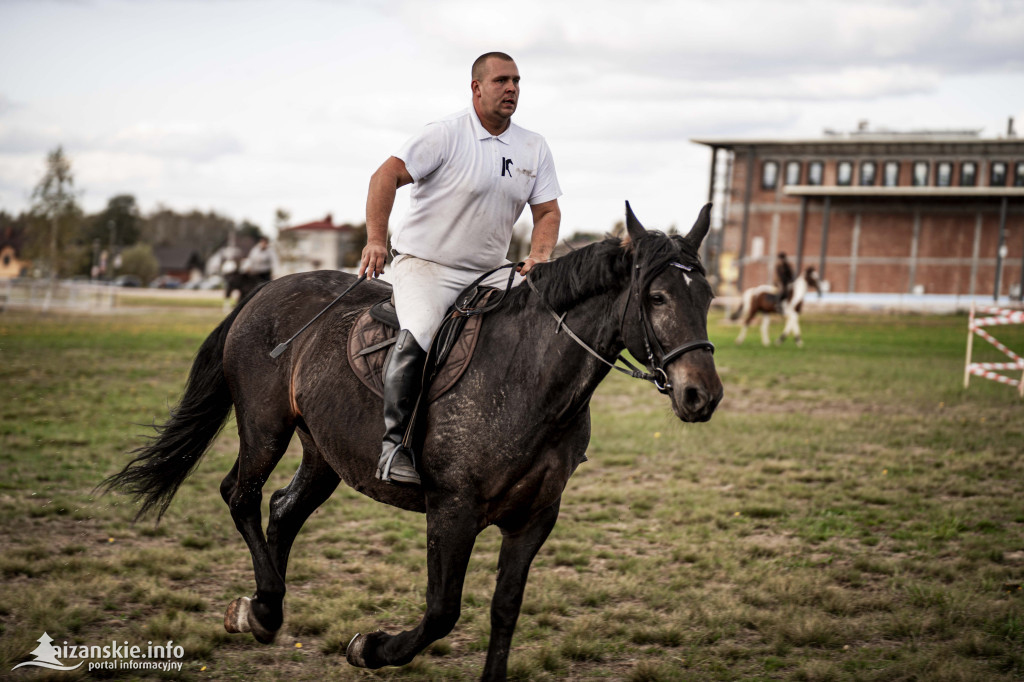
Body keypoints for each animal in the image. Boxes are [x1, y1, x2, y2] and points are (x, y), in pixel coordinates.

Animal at [103, 202, 724, 679]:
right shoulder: (452, 511)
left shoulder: (534, 518)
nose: (703, 395)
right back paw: (261, 611)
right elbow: (442, 611)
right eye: (658, 299)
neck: (528, 378)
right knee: (241, 496)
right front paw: (370, 648)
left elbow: (505, 610)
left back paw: (265, 608)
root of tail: (262, 295)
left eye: (709, 297)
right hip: (265, 429)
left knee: (282, 509)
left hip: (324, 453)